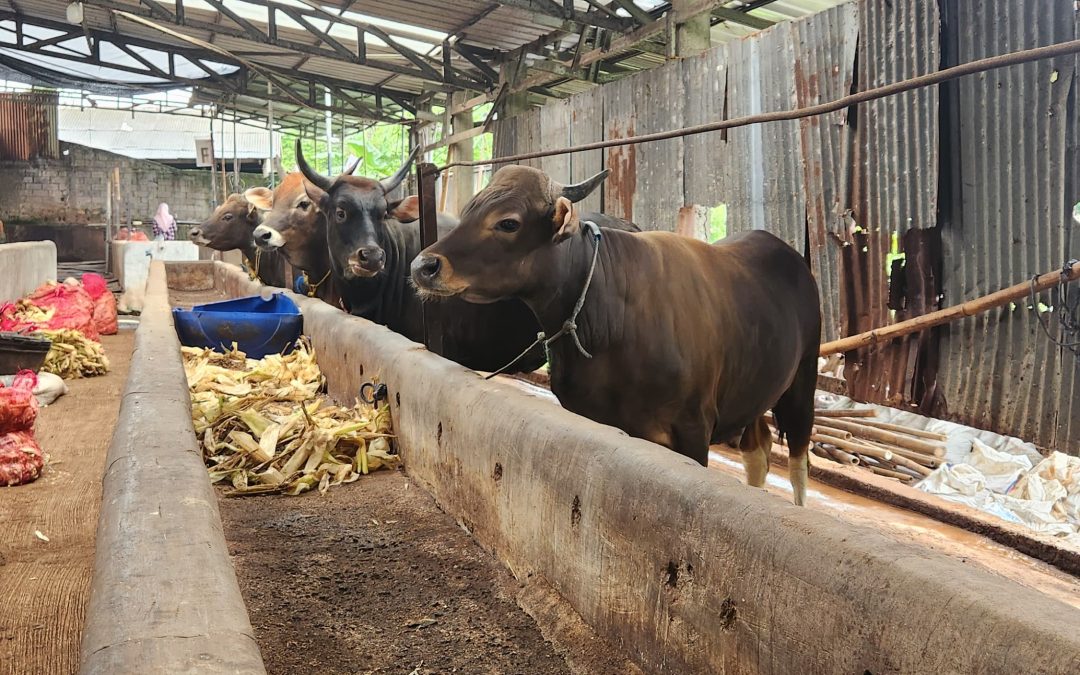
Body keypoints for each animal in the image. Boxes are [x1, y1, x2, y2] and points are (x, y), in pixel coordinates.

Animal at [410, 164, 816, 505]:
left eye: (508, 223)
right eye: (469, 210)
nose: (423, 266)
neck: (610, 323)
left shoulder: (693, 429)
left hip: (803, 381)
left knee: (797, 462)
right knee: (758, 451)